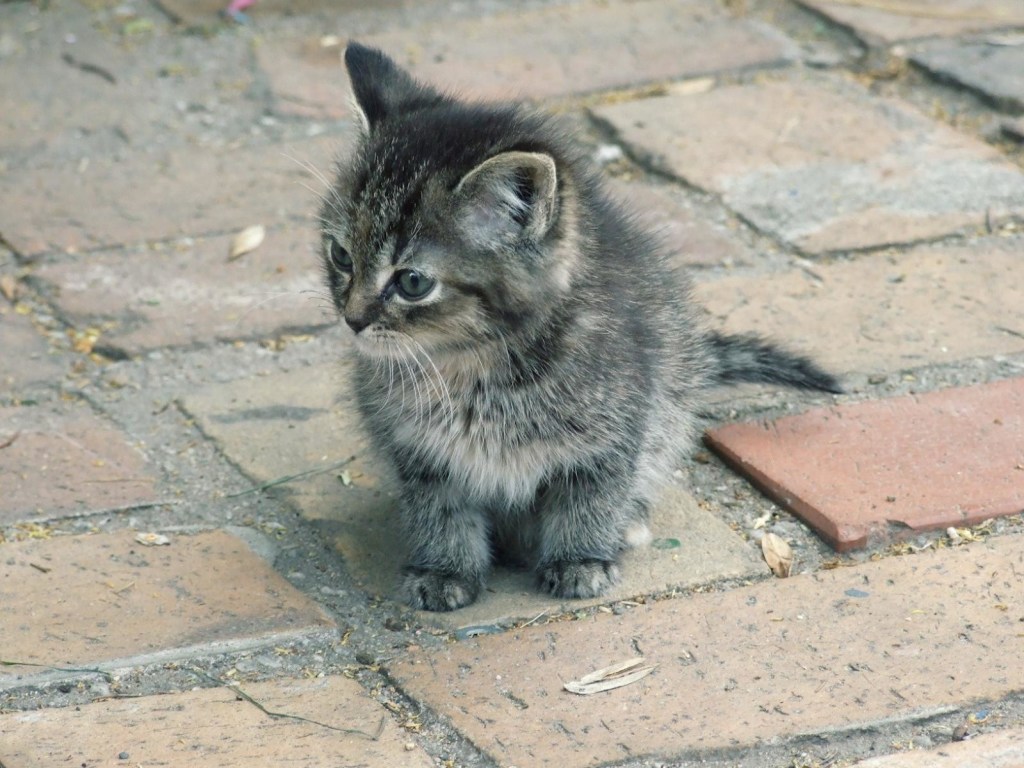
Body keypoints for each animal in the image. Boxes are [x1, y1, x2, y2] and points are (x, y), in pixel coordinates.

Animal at [319, 46, 839, 614]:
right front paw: (444, 567)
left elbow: (590, 495)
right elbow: (438, 507)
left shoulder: (613, 430)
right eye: (341, 255)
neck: (475, 365)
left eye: (412, 282)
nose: (353, 318)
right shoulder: (414, 447)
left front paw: (579, 559)